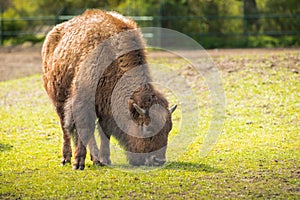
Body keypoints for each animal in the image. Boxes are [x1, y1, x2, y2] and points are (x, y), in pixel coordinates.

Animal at [40, 8, 176, 170]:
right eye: (147, 128)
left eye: (169, 129)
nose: (158, 161)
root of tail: (52, 35)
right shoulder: (82, 102)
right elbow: (85, 129)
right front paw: (78, 163)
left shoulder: (105, 108)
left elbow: (104, 132)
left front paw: (105, 159)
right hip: (58, 101)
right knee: (65, 128)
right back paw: (66, 158)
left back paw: (95, 158)